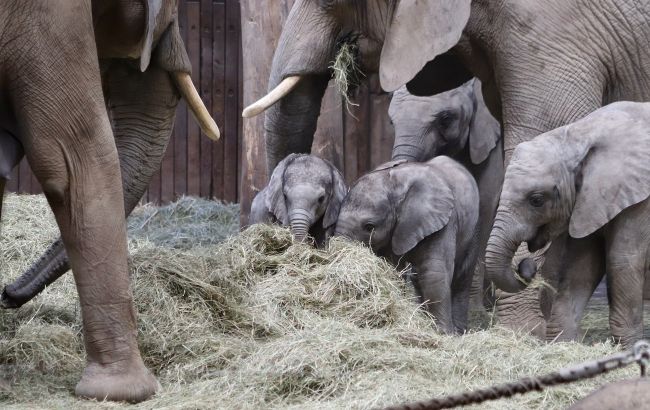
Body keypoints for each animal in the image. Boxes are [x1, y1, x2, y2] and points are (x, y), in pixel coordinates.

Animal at [336, 157, 478, 334]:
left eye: (369, 227)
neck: (396, 186)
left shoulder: (444, 221)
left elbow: (434, 273)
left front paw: (443, 334)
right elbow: (393, 269)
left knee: (462, 276)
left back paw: (459, 332)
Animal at [484, 101, 648, 348]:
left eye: (536, 200)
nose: (526, 266)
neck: (579, 135)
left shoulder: (640, 199)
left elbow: (622, 260)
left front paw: (631, 348)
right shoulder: (588, 202)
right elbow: (582, 265)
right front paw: (563, 342)